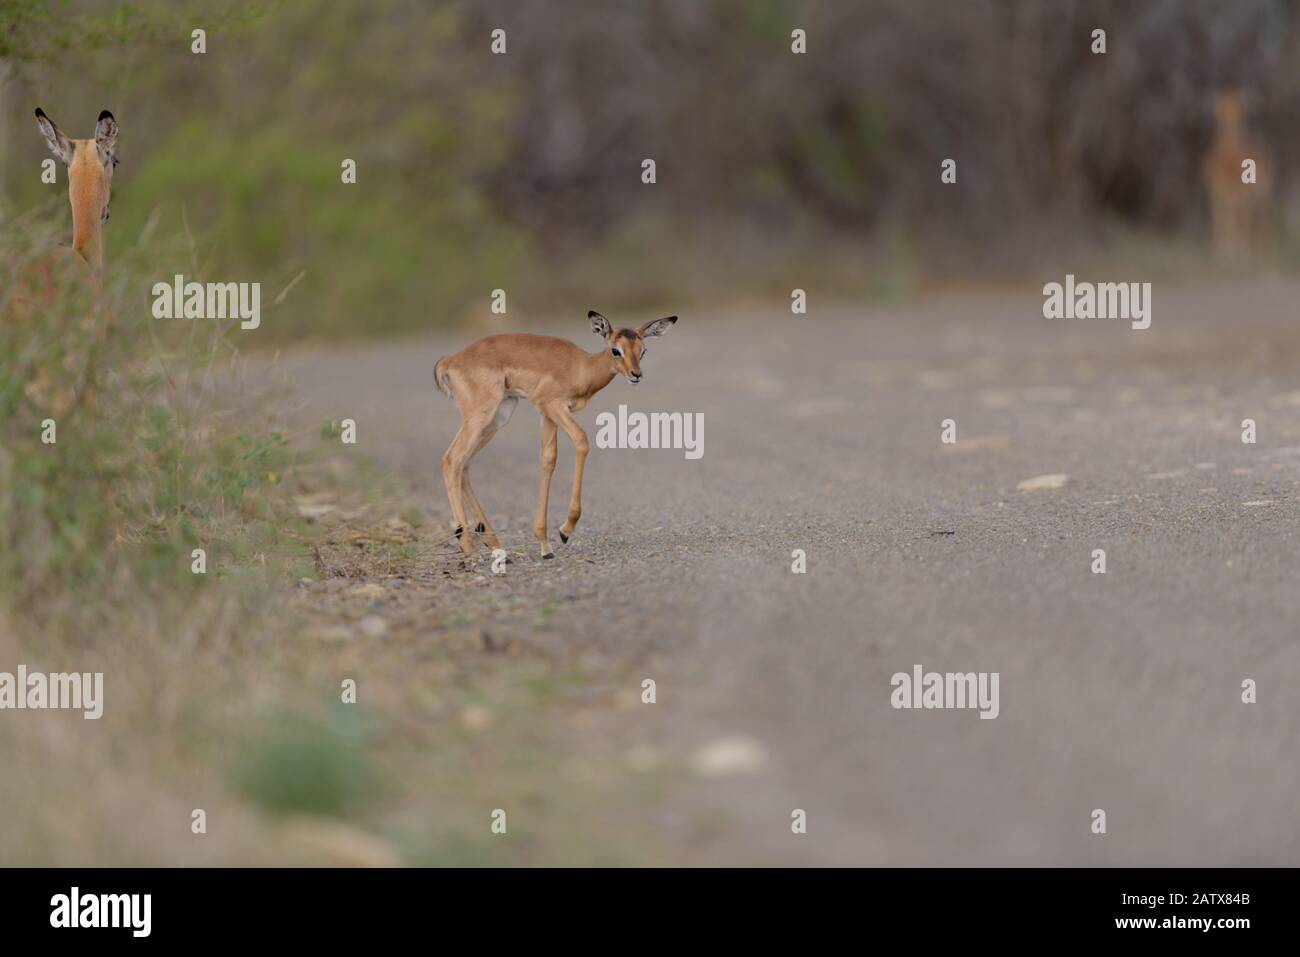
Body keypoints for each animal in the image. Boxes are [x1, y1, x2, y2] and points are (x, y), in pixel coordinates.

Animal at [434, 310, 678, 560]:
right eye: (615, 349)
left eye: (643, 349)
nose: (636, 375)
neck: (581, 367)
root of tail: (450, 360)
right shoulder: (553, 406)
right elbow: (581, 440)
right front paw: (564, 531)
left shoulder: (547, 415)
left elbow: (548, 460)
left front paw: (545, 545)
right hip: (480, 416)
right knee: (452, 459)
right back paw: (468, 545)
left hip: (498, 417)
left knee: (464, 465)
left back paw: (494, 544)